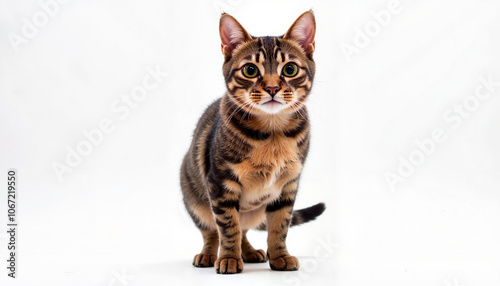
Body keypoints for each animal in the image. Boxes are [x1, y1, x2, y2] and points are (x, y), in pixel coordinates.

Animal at [180, 11, 324, 274]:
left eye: (290, 69)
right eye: (249, 70)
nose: (272, 88)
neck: (273, 133)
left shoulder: (287, 186)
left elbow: (279, 227)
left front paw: (280, 256)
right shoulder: (220, 184)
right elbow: (228, 227)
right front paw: (228, 258)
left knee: (245, 229)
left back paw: (249, 252)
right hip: (196, 201)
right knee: (211, 231)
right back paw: (209, 255)